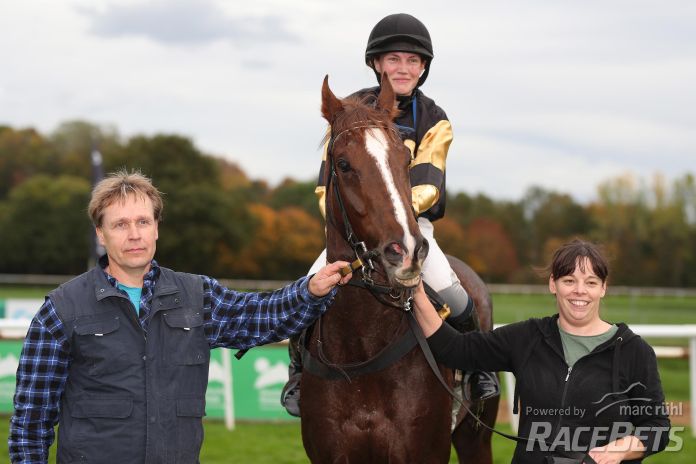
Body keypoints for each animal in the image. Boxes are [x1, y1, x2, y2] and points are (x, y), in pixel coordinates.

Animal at [300, 75, 499, 463]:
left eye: (405, 159)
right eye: (343, 164)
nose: (405, 251)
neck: (362, 348)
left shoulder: (424, 451)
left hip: (476, 437)